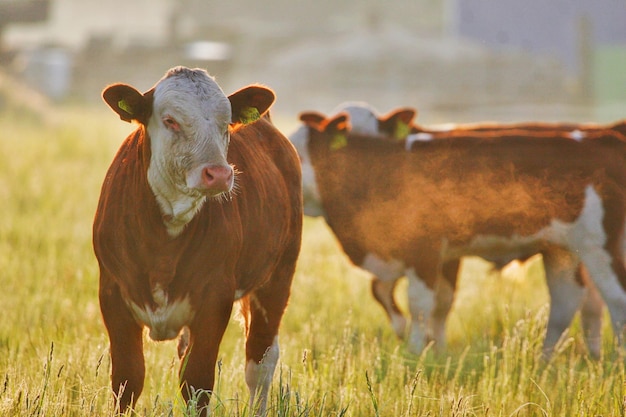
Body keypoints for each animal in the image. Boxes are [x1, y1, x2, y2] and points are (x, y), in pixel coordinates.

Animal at [92, 66, 302, 414]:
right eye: (170, 120)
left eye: (225, 123)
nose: (219, 174)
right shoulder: (112, 293)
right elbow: (127, 379)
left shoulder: (215, 297)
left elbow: (196, 382)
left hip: (278, 275)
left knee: (260, 362)